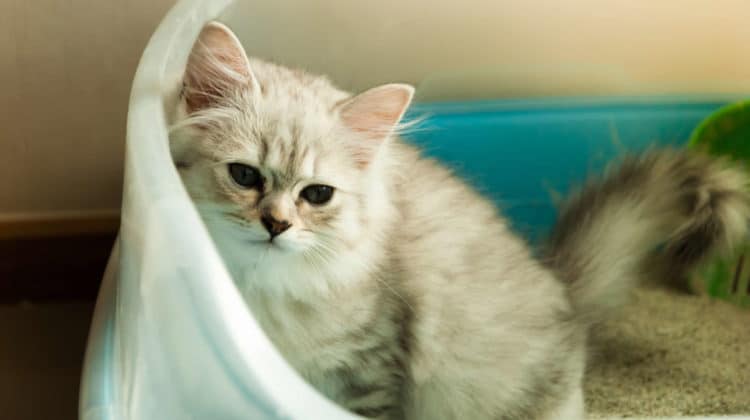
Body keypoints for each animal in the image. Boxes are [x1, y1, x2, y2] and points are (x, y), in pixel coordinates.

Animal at [169, 22, 750, 420]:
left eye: (317, 194)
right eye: (244, 176)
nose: (276, 225)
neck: (258, 286)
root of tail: (565, 293)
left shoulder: (367, 372)